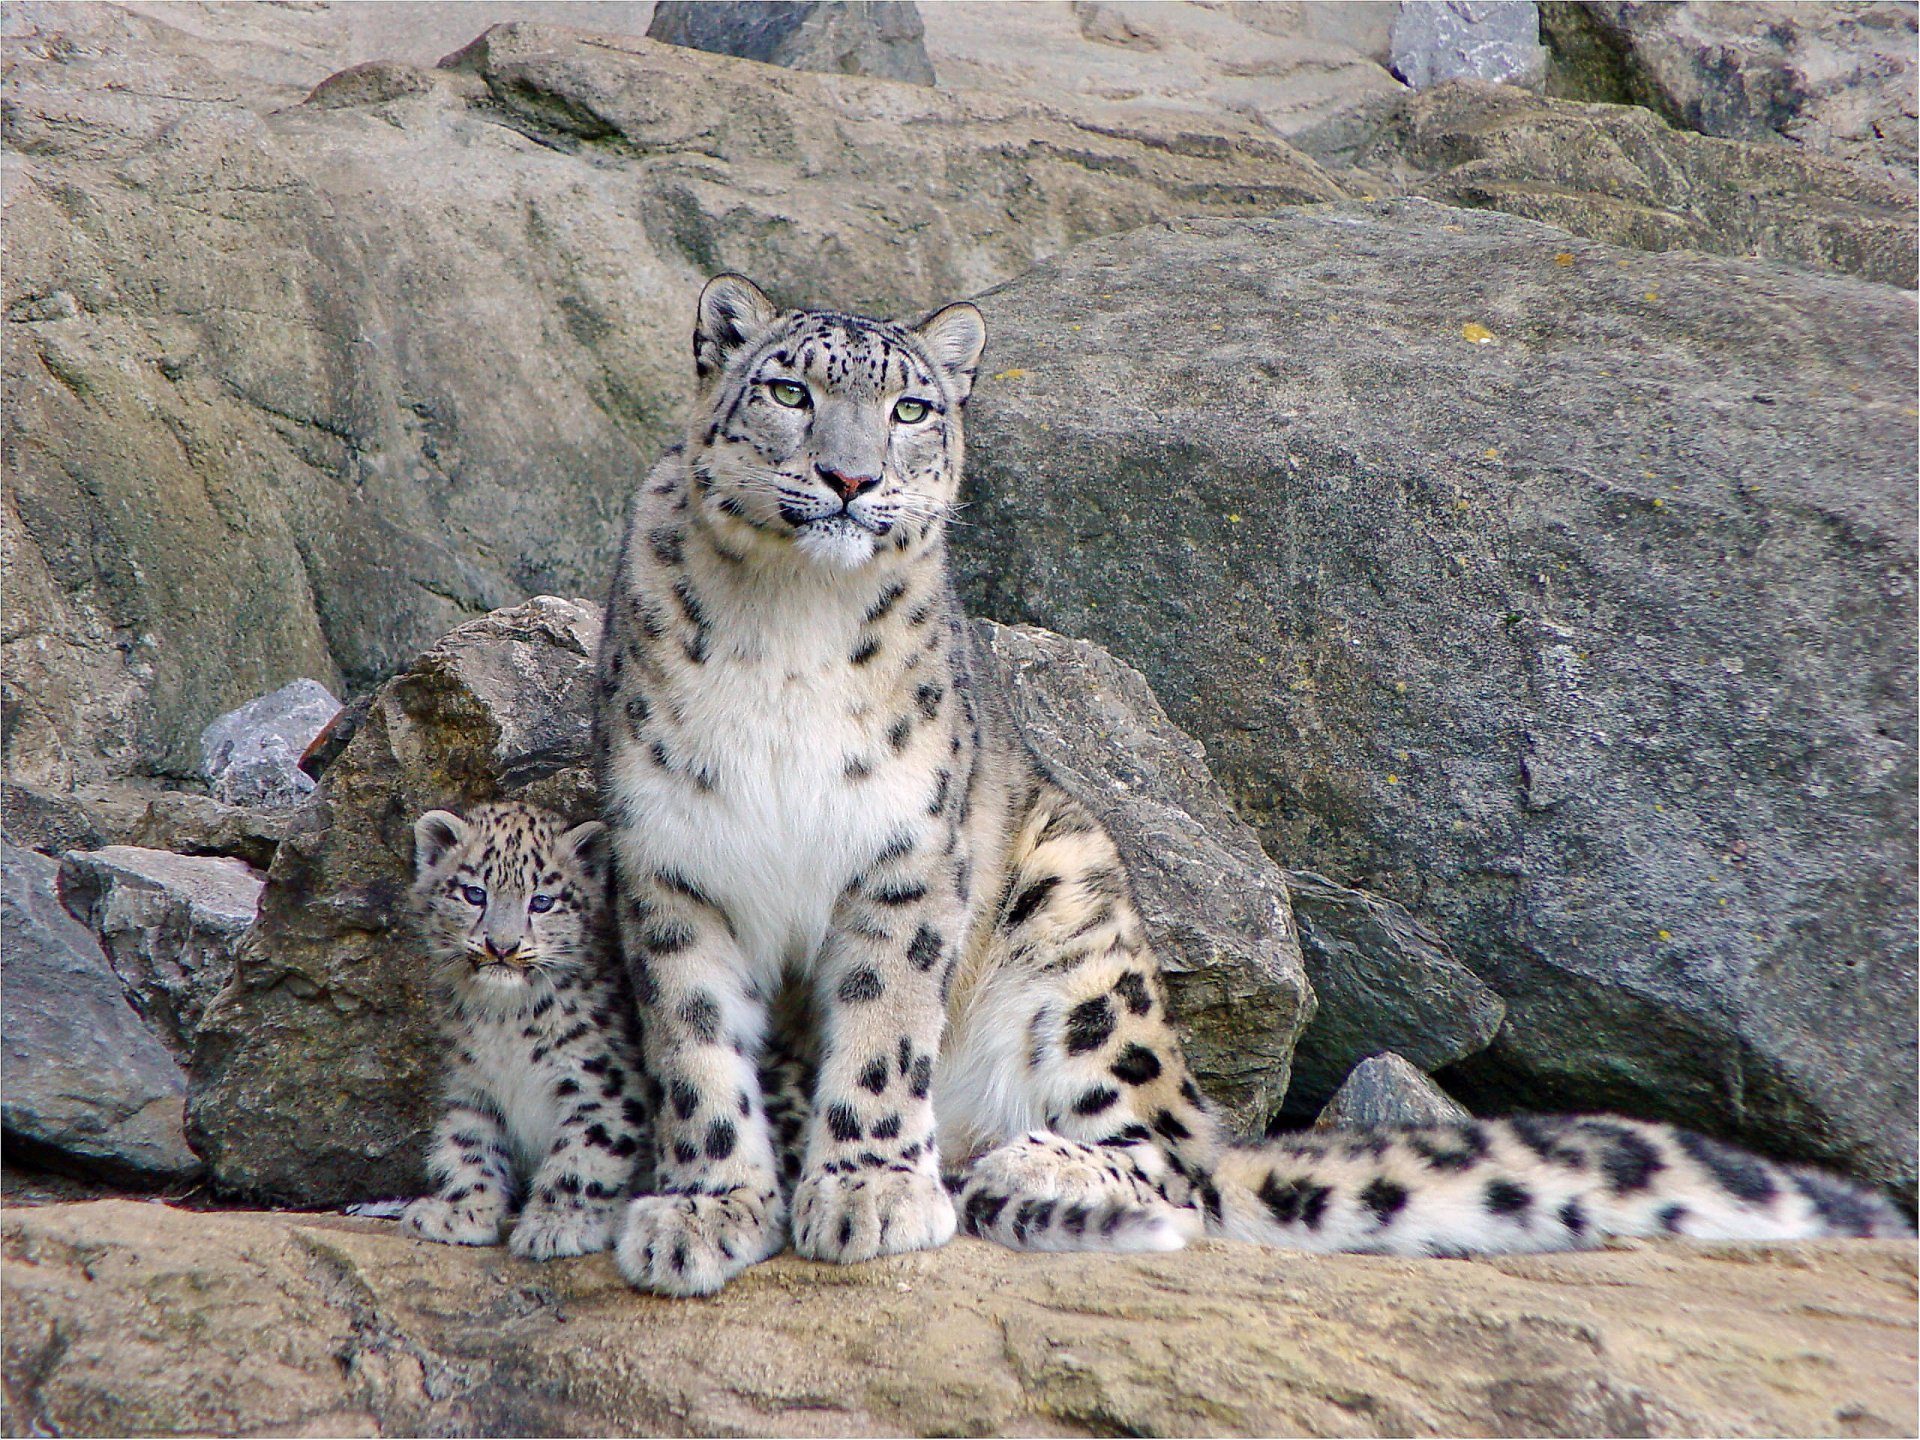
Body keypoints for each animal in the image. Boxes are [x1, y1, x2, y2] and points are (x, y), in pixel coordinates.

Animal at [400, 800, 654, 1260]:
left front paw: (558, 1225)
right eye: (474, 893)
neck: (505, 1021)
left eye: (542, 902)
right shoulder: (471, 1083)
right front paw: (459, 1212)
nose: (501, 946)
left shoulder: (603, 1083)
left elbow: (585, 1153)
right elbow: (468, 1145)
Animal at [593, 275, 1911, 1296]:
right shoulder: (669, 860)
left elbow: (879, 1033)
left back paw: (1031, 1162)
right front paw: (703, 1210)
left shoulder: (906, 862)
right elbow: (696, 1048)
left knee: (1175, 1156)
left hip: (1078, 919)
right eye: (790, 392)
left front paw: (866, 1192)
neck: (789, 629)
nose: (849, 479)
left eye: (911, 407)